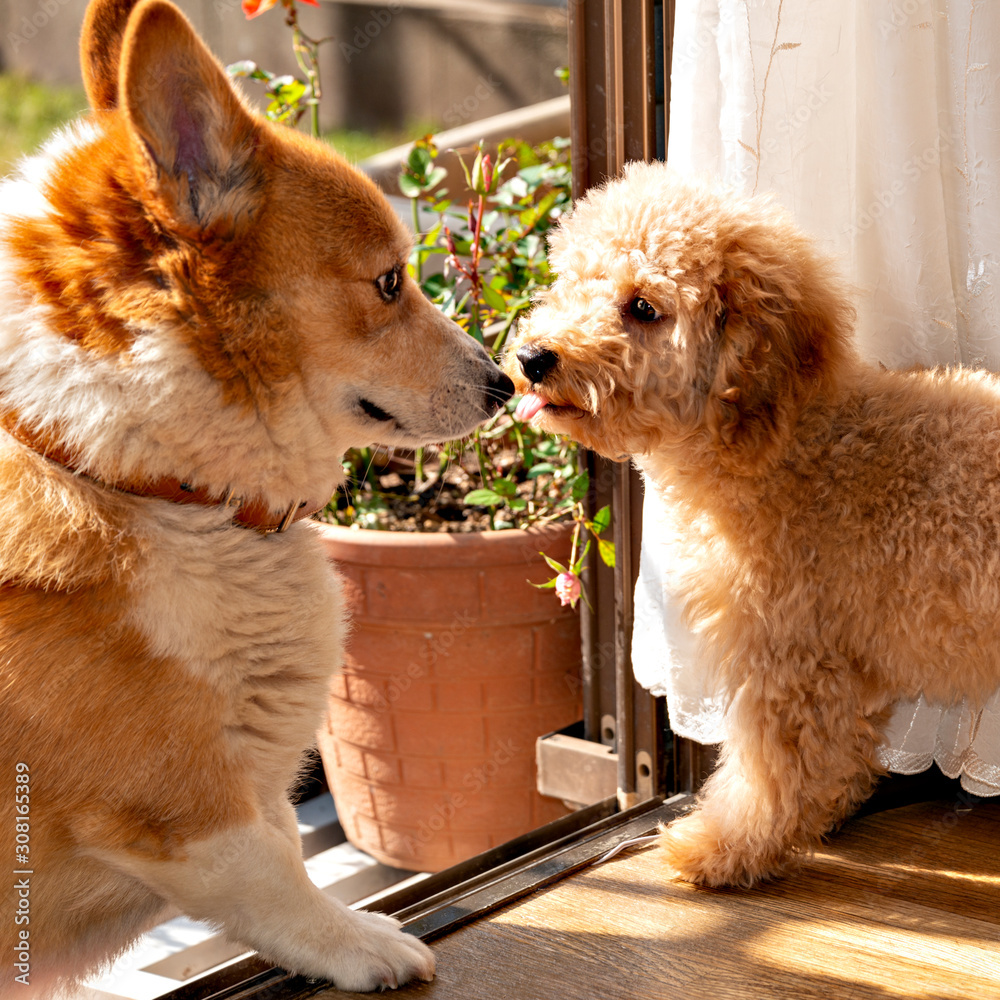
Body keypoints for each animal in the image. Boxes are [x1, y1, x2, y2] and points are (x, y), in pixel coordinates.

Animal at [0, 0, 512, 992]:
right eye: (389, 281)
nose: (505, 383)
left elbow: (281, 844)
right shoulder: (183, 806)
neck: (119, 465)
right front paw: (365, 944)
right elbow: (272, 870)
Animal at [504, 160, 1000, 888]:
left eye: (643, 307)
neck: (791, 442)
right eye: (572, 281)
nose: (534, 357)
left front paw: (720, 849)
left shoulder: (787, 658)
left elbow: (773, 776)